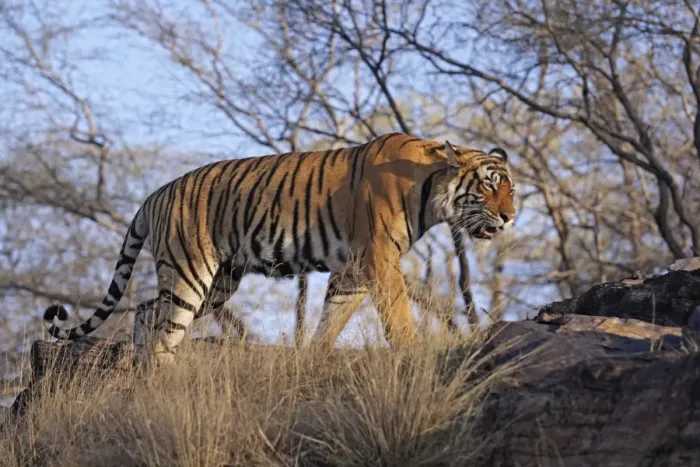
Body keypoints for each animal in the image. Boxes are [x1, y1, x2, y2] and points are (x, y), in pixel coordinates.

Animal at [43, 133, 516, 367]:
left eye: (511, 189)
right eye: (489, 185)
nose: (511, 216)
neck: (432, 190)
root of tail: (155, 194)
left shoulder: (354, 268)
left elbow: (332, 318)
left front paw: (316, 357)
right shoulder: (379, 257)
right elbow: (397, 313)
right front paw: (413, 353)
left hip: (219, 281)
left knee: (145, 311)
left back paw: (141, 371)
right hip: (190, 272)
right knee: (165, 329)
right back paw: (160, 376)